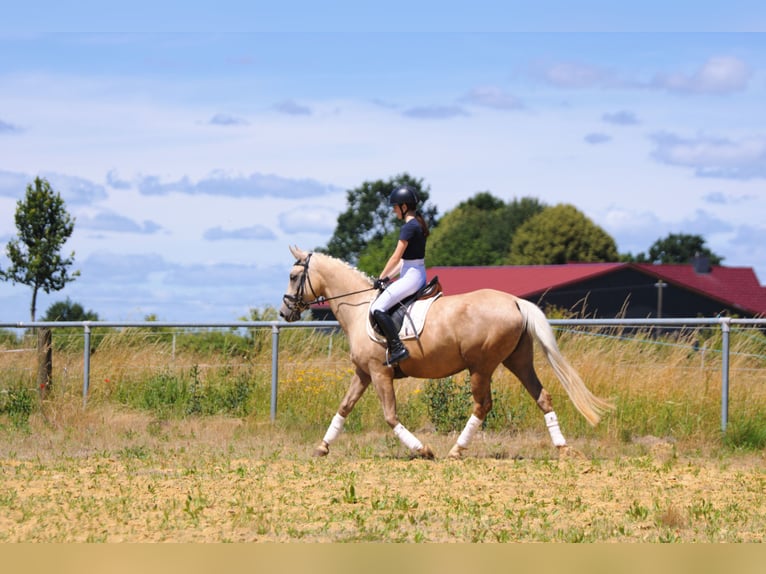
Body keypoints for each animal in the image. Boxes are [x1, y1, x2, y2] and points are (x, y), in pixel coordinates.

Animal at [280, 245, 616, 462]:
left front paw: (423, 450)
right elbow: (344, 407)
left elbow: (390, 416)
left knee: (483, 405)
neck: (360, 308)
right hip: (518, 361)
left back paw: (456, 450)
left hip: (481, 366)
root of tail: (515, 301)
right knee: (542, 397)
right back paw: (563, 448)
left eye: (294, 277)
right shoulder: (363, 373)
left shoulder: (379, 372)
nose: (285, 313)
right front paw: (322, 447)